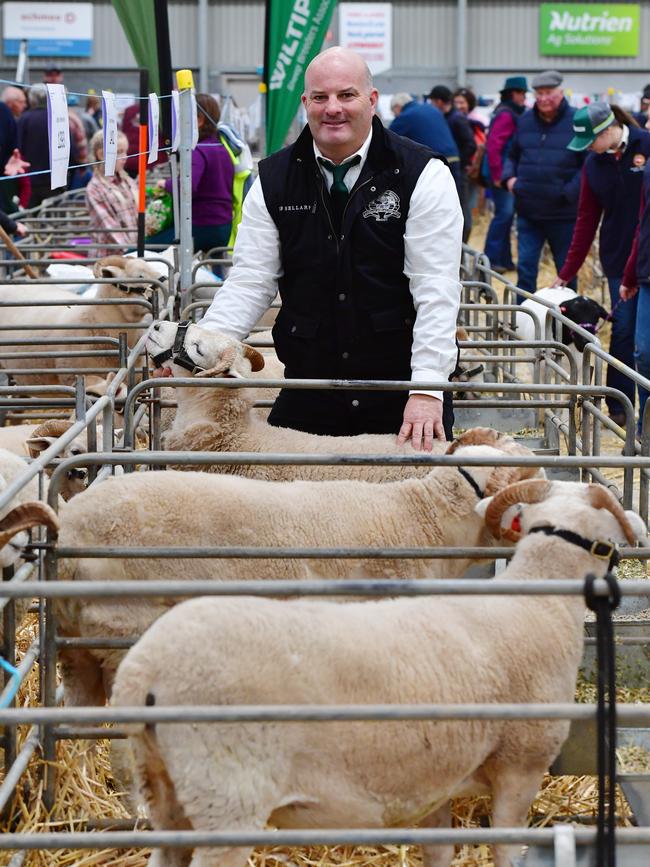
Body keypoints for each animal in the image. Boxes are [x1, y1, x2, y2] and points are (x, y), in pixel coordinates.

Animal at [111, 482, 644, 867]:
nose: (639, 526)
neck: (540, 604)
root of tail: (145, 671)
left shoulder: (437, 780)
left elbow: (438, 850)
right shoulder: (521, 765)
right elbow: (507, 851)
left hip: (164, 787)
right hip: (227, 797)